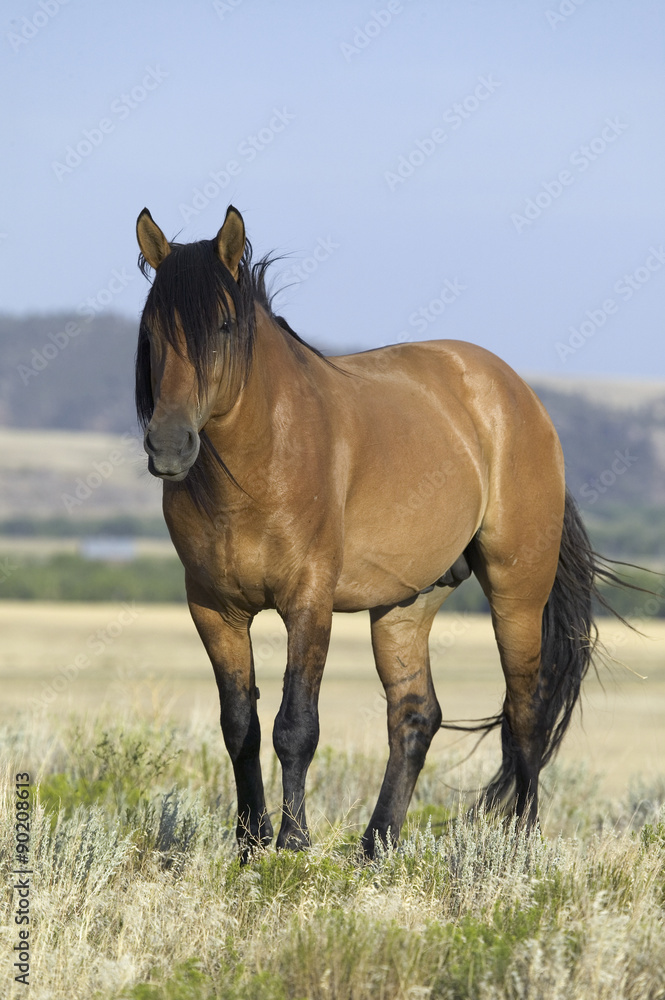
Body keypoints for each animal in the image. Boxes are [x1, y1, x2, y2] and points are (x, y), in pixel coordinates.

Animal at [135, 204, 608, 859]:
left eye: (224, 327)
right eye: (153, 331)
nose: (169, 446)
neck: (261, 462)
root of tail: (519, 397)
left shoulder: (308, 602)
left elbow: (295, 726)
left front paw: (292, 843)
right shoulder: (213, 609)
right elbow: (240, 727)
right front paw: (249, 843)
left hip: (517, 592)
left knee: (526, 713)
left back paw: (519, 843)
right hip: (406, 605)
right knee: (415, 715)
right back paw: (377, 843)